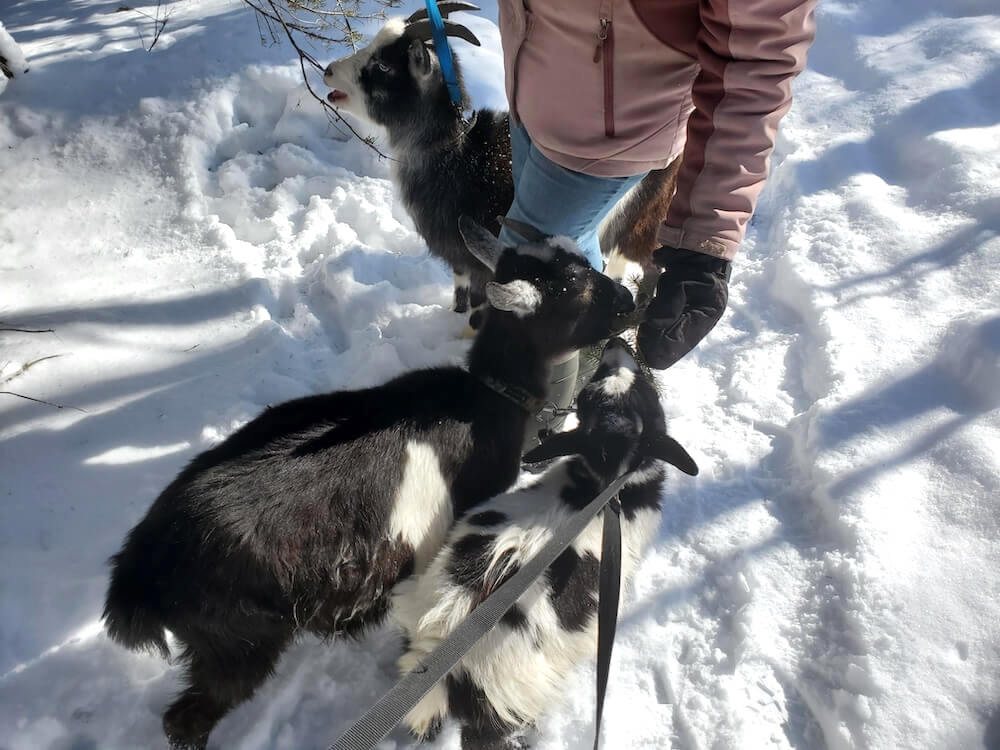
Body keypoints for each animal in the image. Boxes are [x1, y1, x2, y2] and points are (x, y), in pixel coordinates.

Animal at [101, 219, 632, 750]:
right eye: (577, 287)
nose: (628, 299)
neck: (489, 397)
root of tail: (139, 575)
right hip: (238, 638)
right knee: (192, 714)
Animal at [388, 338, 696, 748]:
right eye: (589, 392)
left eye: (642, 391)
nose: (616, 343)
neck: (609, 477)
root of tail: (441, 640)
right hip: (511, 696)